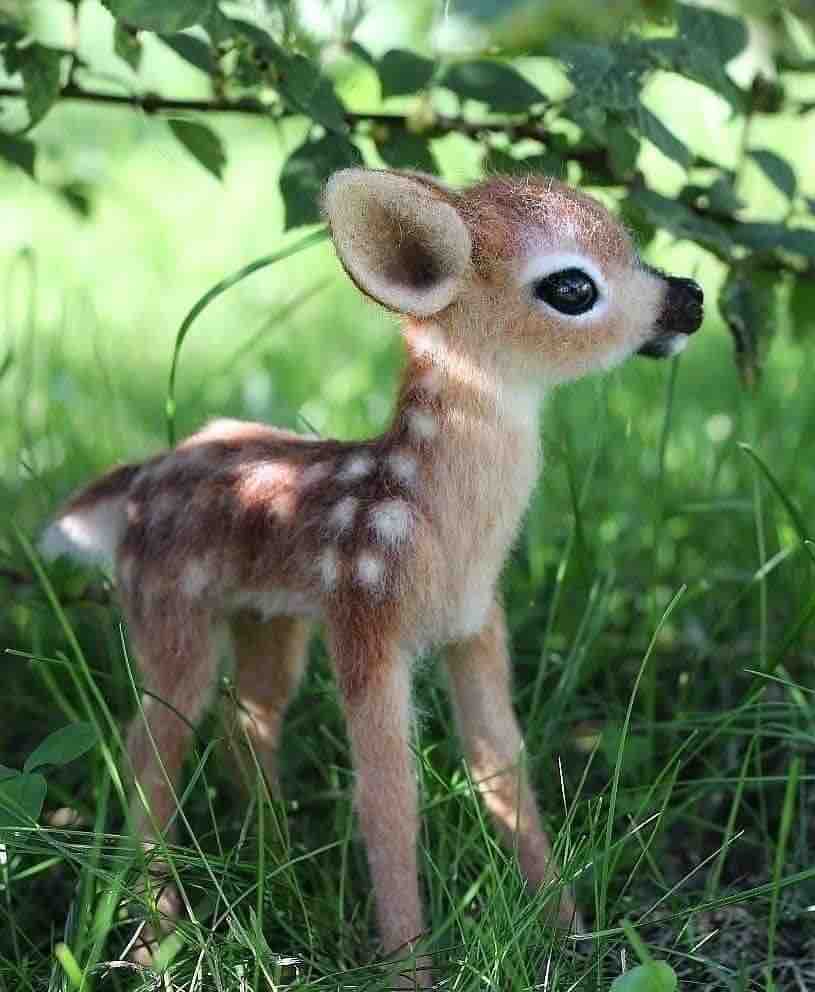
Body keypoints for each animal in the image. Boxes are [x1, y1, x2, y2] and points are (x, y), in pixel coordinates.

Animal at [40, 168, 703, 984]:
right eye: (572, 286)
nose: (689, 298)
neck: (436, 529)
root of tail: (133, 484)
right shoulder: (366, 614)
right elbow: (389, 798)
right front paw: (410, 969)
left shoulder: (476, 623)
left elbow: (501, 764)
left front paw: (571, 933)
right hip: (168, 608)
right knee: (147, 755)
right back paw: (155, 940)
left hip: (270, 618)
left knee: (248, 717)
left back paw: (274, 865)